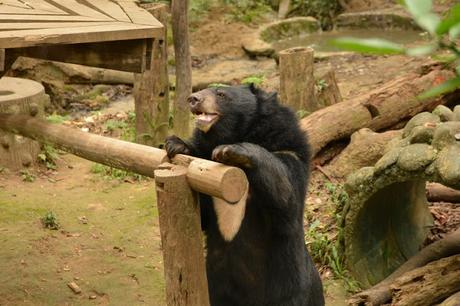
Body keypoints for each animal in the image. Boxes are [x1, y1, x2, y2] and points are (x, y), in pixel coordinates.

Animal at [165, 84, 324, 306]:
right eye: (203, 90)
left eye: (221, 94)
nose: (193, 99)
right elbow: (202, 214)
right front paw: (176, 144)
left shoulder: (290, 151)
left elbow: (286, 197)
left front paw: (230, 150)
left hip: (289, 287)